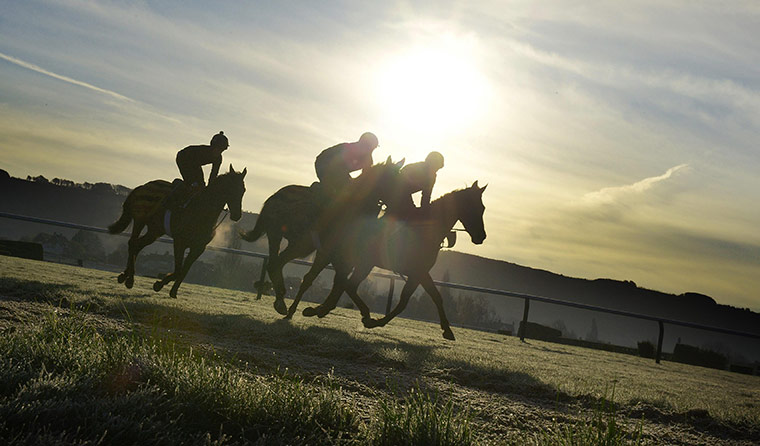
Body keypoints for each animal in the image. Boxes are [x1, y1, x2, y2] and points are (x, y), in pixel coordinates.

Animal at [108, 165, 247, 298]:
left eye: (243, 190)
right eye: (231, 188)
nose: (237, 215)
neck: (201, 211)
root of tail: (143, 186)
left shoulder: (198, 247)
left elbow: (184, 271)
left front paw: (173, 291)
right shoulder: (180, 242)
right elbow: (179, 270)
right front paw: (159, 284)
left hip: (155, 231)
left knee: (137, 245)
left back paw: (125, 276)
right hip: (139, 220)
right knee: (132, 243)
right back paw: (129, 279)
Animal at [240, 157, 404, 315]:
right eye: (393, 180)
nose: (401, 207)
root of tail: (273, 198)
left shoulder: (341, 257)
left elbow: (337, 281)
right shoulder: (328, 252)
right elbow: (320, 279)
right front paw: (306, 310)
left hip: (292, 241)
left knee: (277, 263)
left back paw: (282, 301)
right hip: (287, 238)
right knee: (275, 263)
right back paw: (281, 302)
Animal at [299, 181, 487, 340]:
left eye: (483, 208)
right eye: (476, 207)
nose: (481, 237)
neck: (427, 230)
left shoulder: (421, 273)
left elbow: (436, 296)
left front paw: (447, 330)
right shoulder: (417, 273)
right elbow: (404, 301)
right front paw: (378, 322)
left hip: (360, 262)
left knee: (344, 284)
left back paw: (324, 309)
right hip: (358, 261)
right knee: (345, 284)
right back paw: (356, 314)